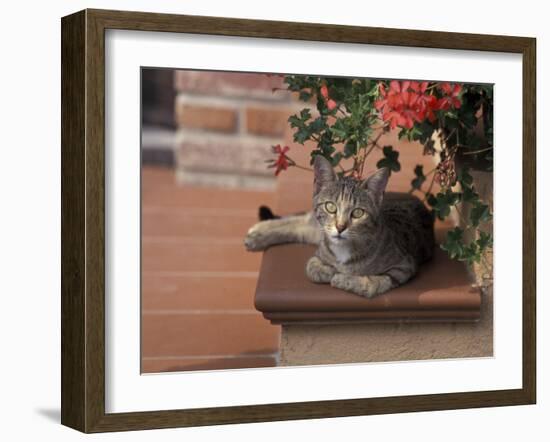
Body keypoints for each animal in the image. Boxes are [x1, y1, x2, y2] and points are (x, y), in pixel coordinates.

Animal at [246, 155, 436, 296]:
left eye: (358, 213)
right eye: (330, 207)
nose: (340, 227)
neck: (344, 249)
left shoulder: (404, 265)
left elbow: (374, 283)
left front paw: (343, 279)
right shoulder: (320, 249)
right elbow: (311, 267)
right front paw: (329, 271)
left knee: (300, 226)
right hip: (318, 228)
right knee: (301, 221)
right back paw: (258, 233)